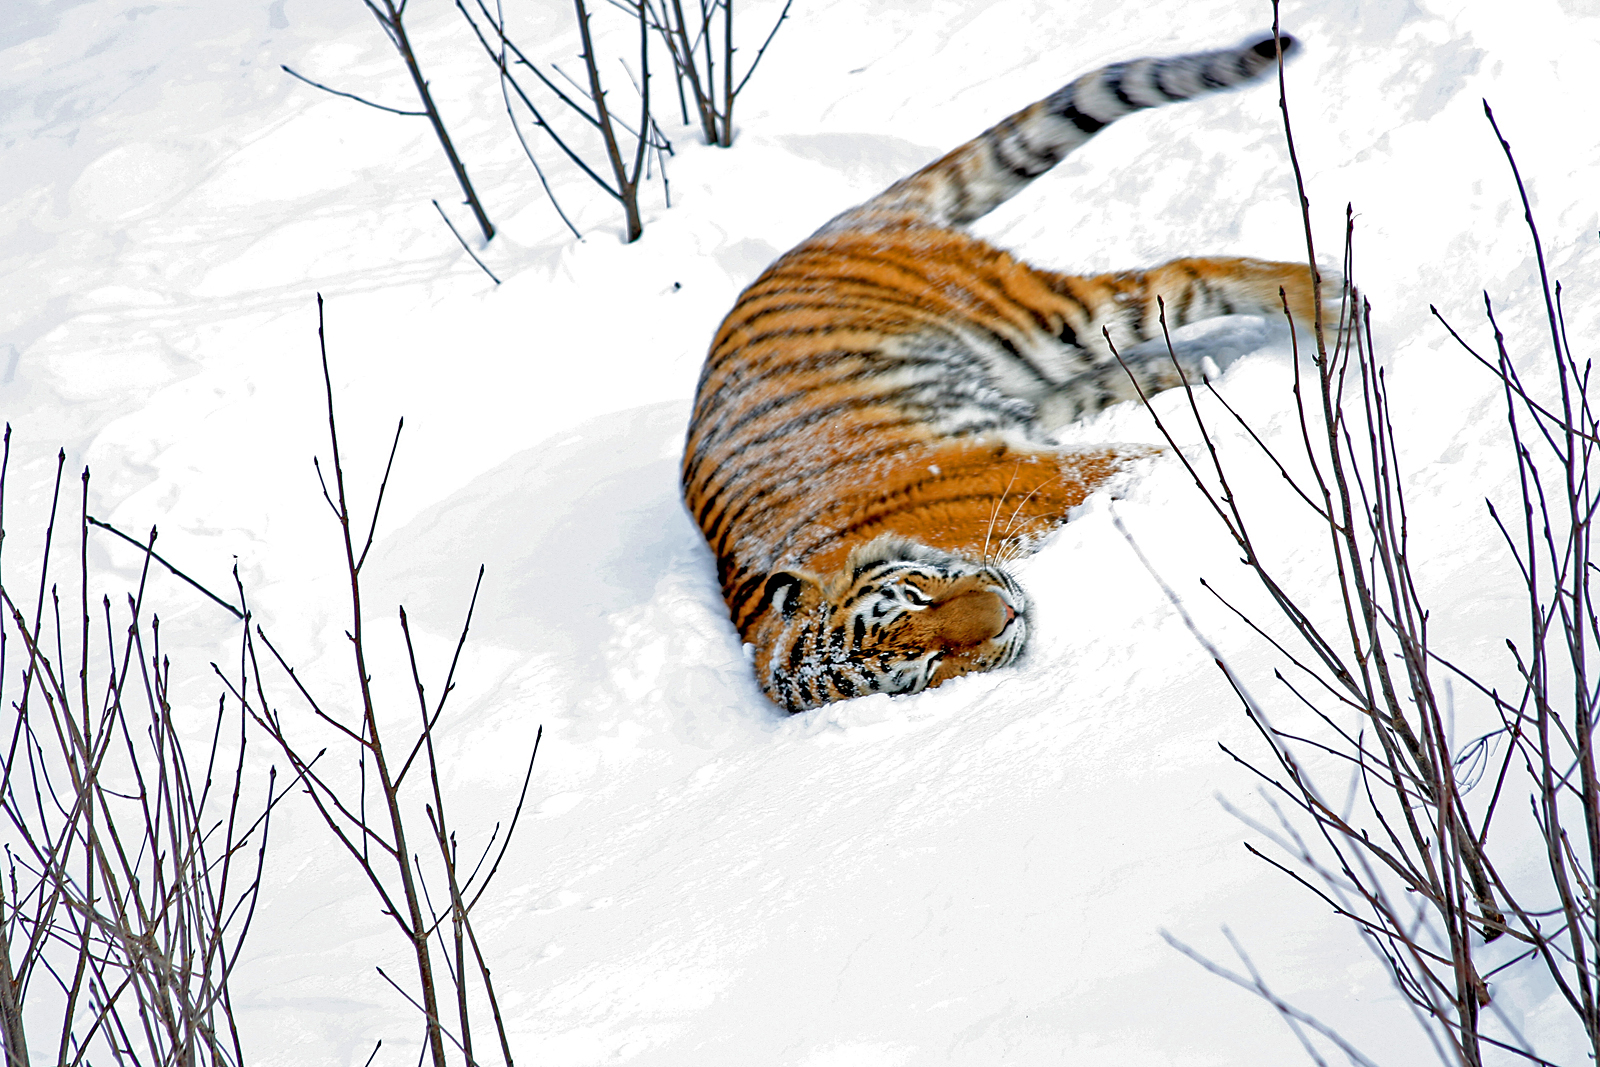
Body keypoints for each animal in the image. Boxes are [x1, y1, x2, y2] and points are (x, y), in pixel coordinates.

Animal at [682, 33, 1326, 714]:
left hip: (1042, 319)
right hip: (1038, 379)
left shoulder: (1058, 471)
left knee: (1186, 277)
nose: (1005, 611)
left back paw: (1334, 306)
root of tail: (824, 232)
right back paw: (1207, 370)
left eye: (912, 597)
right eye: (923, 669)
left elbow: (1156, 458)